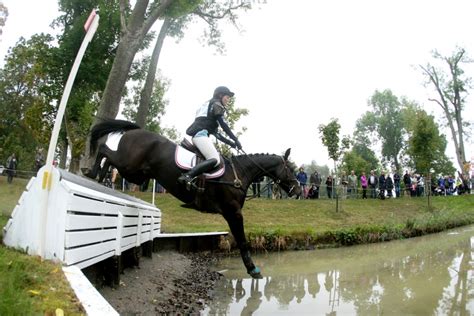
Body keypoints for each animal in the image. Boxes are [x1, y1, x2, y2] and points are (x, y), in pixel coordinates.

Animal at [84, 119, 300, 278]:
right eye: (291, 169)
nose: (298, 190)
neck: (239, 173)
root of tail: (136, 131)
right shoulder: (234, 212)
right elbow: (242, 240)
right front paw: (253, 269)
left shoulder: (231, 213)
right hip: (129, 167)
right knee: (104, 150)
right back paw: (91, 172)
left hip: (136, 174)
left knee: (108, 159)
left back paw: (99, 177)